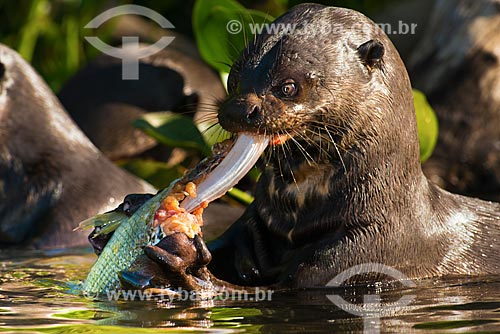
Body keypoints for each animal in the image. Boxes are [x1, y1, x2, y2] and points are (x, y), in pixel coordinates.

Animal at [92, 3, 498, 288]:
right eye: (234, 78)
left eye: (288, 86)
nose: (239, 110)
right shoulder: (253, 228)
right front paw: (132, 208)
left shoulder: (365, 253)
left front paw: (184, 263)